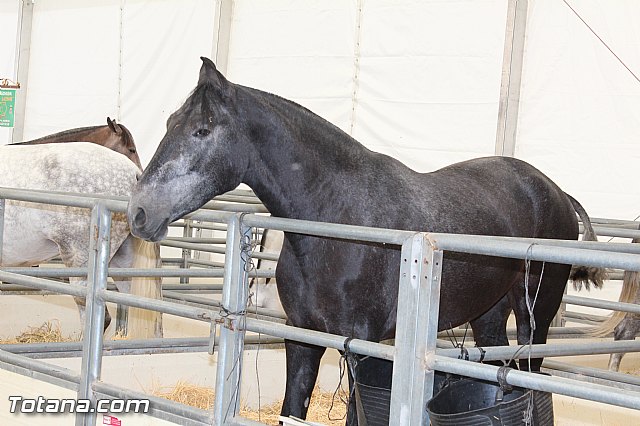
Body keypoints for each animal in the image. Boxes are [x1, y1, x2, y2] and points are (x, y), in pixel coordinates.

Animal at [127, 57, 603, 423]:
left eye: (202, 130)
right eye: (170, 122)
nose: (139, 212)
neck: (340, 221)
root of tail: (556, 192)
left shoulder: (363, 347)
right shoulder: (301, 339)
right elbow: (292, 409)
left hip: (536, 314)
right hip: (488, 314)